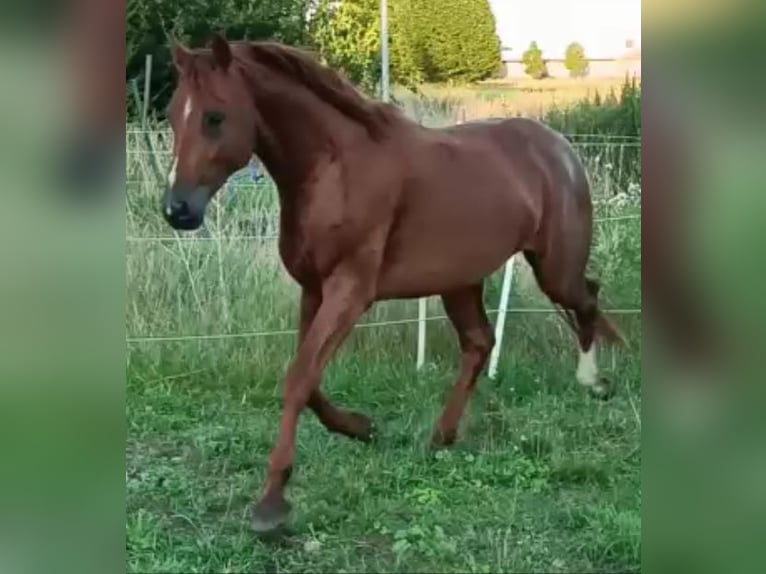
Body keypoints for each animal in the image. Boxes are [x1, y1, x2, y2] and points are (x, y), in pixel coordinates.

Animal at [162, 33, 624, 532]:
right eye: (171, 114)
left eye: (214, 116)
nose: (177, 210)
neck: (335, 169)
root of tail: (559, 146)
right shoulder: (314, 289)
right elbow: (307, 378)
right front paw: (363, 428)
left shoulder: (350, 291)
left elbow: (299, 378)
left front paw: (271, 504)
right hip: (460, 280)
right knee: (481, 342)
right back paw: (440, 437)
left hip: (554, 268)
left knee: (587, 297)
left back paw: (591, 382)